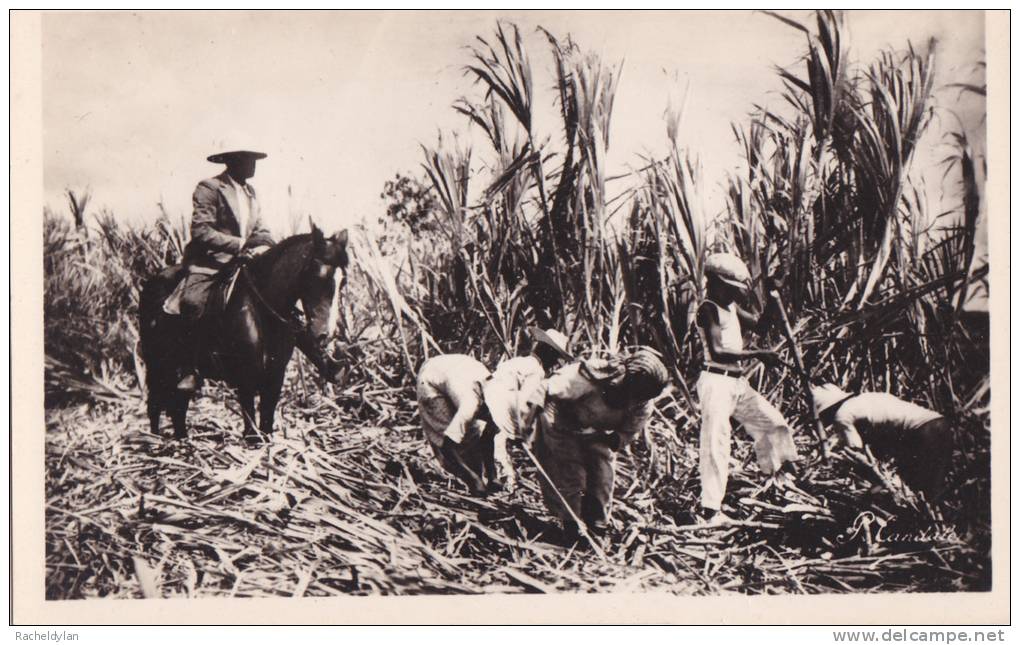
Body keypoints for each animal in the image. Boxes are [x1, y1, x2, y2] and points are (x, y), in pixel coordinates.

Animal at [139, 222, 348, 442]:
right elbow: (251, 422)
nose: (324, 334)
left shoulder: (276, 375)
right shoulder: (245, 374)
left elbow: (267, 418)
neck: (262, 308)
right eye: (316, 277)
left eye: (343, 282)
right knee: (156, 404)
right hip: (157, 364)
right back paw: (153, 439)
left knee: (178, 404)